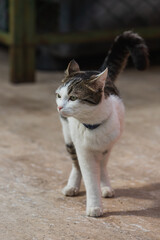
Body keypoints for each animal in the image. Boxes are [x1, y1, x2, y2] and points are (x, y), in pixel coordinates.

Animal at [55, 31, 149, 218]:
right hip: (68, 137)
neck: (92, 125)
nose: (60, 107)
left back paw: (106, 186)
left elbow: (101, 168)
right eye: (59, 95)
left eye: (73, 98)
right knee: (76, 163)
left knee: (104, 164)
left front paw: (103, 187)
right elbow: (90, 178)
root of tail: (94, 70)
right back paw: (72, 185)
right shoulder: (84, 151)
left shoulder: (107, 144)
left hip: (110, 144)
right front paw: (94, 206)